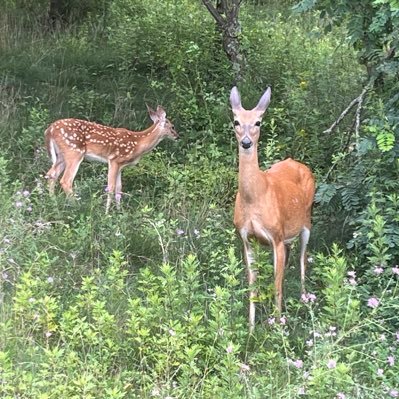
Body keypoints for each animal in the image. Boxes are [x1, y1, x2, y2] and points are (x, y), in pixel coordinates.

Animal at [43, 106, 178, 212]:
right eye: (172, 126)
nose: (178, 136)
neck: (138, 143)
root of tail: (50, 129)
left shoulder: (121, 166)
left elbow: (119, 189)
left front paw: (119, 211)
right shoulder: (114, 160)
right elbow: (111, 188)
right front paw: (107, 213)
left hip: (61, 155)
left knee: (51, 174)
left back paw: (53, 204)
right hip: (74, 151)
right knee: (65, 180)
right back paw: (76, 207)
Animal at [231, 86, 316, 332]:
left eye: (258, 122)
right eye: (236, 121)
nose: (246, 142)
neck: (254, 199)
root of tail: (298, 163)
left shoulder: (276, 236)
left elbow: (276, 286)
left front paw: (277, 327)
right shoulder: (246, 238)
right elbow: (253, 285)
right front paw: (251, 329)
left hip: (307, 222)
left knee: (302, 260)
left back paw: (304, 299)